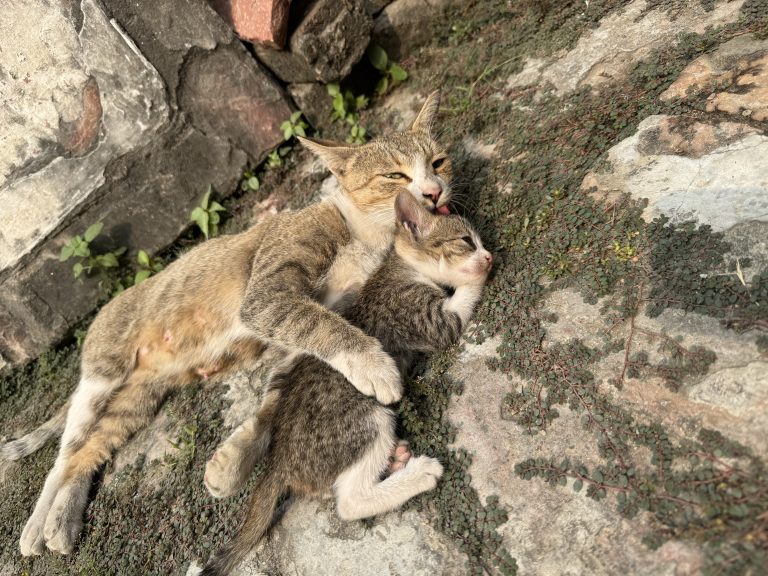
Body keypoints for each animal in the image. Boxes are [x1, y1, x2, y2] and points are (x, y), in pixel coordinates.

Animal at [4, 92, 456, 556]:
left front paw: (234, 462)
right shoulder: (267, 298)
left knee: (90, 450)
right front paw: (374, 366)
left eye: (438, 162)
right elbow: (323, 327)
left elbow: (276, 396)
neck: (364, 235)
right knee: (64, 453)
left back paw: (63, 517)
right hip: (103, 375)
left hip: (137, 401)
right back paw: (38, 522)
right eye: (395, 174)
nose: (434, 191)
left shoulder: (298, 335)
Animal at [201, 192, 492, 576]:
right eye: (466, 241)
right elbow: (461, 300)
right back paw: (418, 474)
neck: (398, 265)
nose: (489, 256)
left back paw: (396, 460)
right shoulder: (432, 319)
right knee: (350, 503)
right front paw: (475, 275)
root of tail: (277, 461)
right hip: (368, 416)